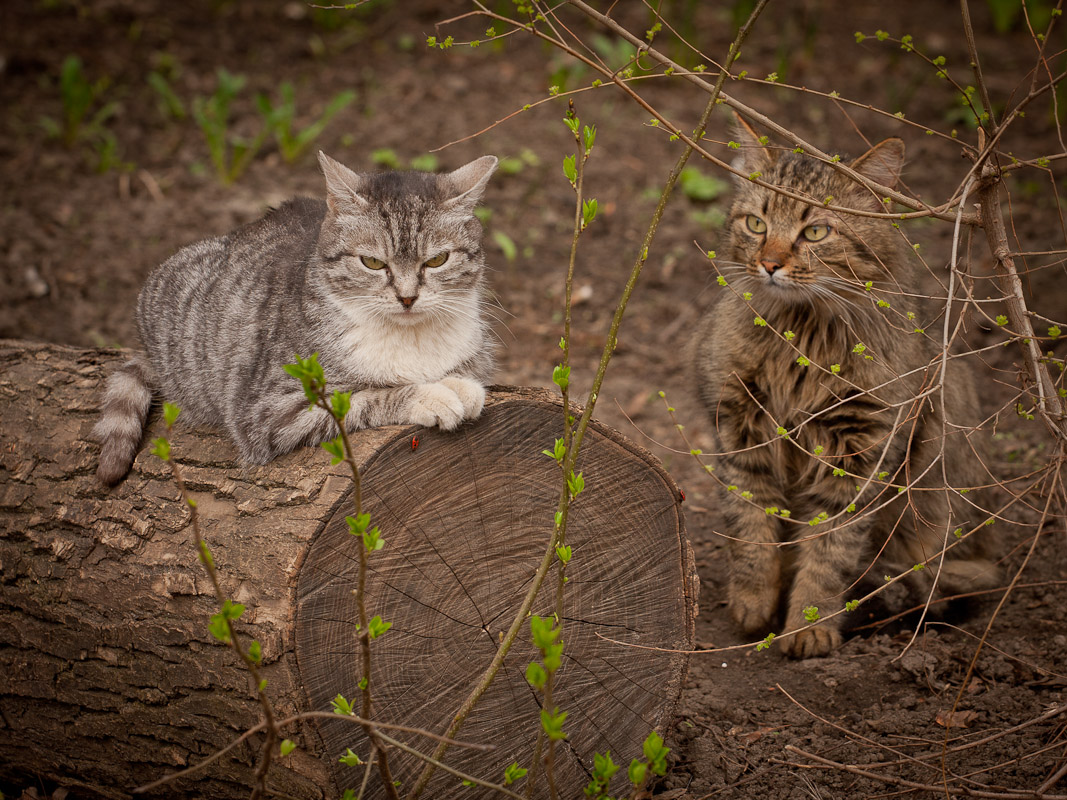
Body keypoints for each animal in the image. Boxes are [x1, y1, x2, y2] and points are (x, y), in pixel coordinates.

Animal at [96, 152, 495, 486]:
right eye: (372, 263)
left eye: (437, 260)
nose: (408, 297)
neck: (411, 339)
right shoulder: (272, 411)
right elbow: (370, 397)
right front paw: (434, 395)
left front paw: (459, 384)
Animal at [691, 117, 998, 657]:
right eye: (757, 225)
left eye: (815, 232)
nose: (770, 264)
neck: (799, 339)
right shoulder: (741, 428)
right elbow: (751, 532)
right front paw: (753, 606)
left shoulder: (861, 451)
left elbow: (829, 550)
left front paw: (808, 627)